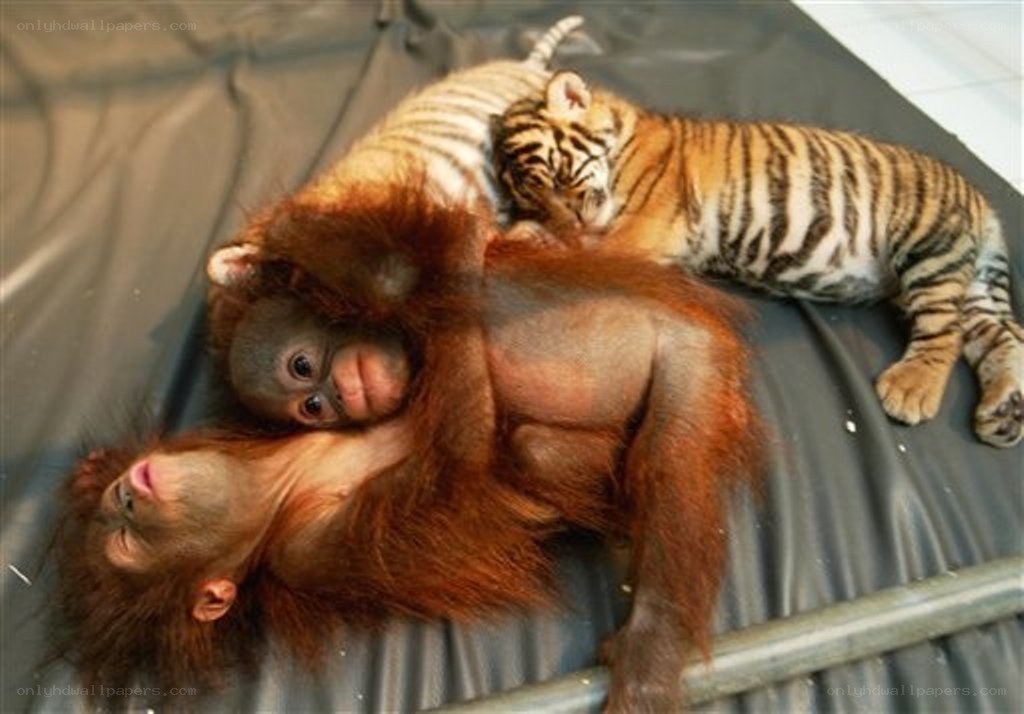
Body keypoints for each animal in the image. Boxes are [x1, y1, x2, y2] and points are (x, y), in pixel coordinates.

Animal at [492, 70, 1024, 448]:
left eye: (562, 179)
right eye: (535, 199)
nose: (568, 220)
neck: (623, 141)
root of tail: (982, 200)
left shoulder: (648, 225)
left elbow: (591, 251)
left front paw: (533, 244)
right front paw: (527, 234)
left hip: (928, 249)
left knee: (945, 333)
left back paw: (911, 389)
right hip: (968, 285)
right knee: (1003, 335)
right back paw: (1004, 415)